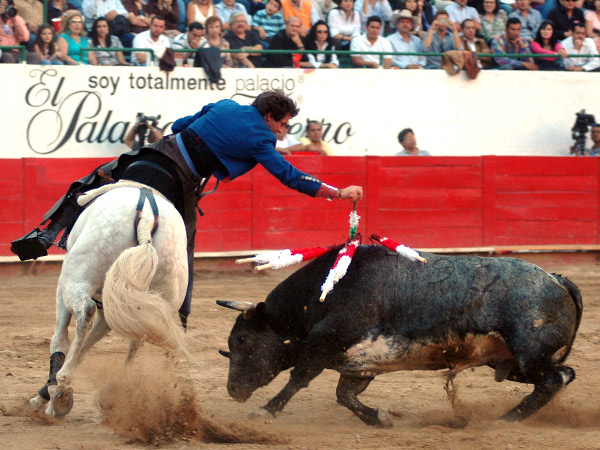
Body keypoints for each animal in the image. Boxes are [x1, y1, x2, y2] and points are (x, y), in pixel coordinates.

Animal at [29, 183, 189, 417]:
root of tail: (147, 217)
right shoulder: (109, 310)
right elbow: (84, 347)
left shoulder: (63, 287)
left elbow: (60, 338)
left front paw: (50, 392)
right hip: (159, 295)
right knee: (140, 336)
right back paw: (117, 389)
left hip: (76, 278)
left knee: (85, 312)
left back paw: (62, 386)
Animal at [216, 245, 582, 427]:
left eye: (242, 341)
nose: (233, 390)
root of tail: (556, 279)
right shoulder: (359, 364)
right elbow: (344, 395)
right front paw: (378, 418)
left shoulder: (325, 344)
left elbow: (298, 379)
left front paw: (266, 411)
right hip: (513, 363)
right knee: (561, 376)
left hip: (528, 354)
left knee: (551, 380)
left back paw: (506, 420)